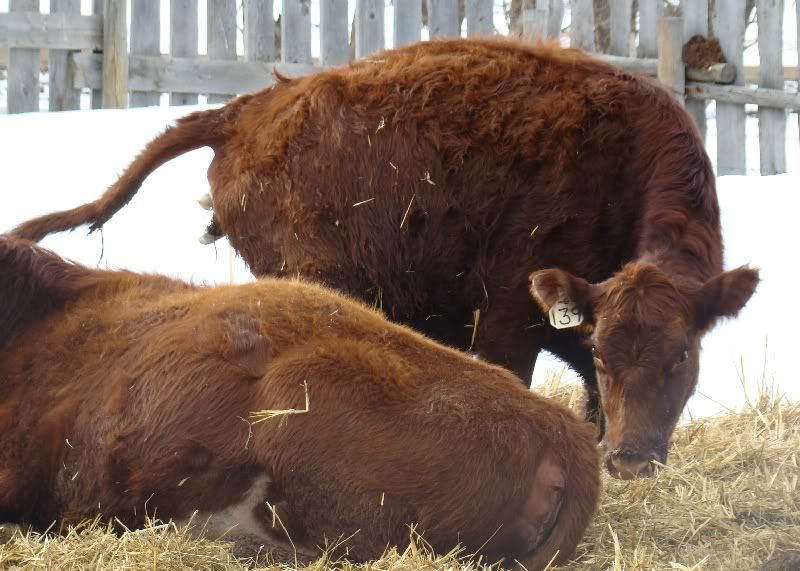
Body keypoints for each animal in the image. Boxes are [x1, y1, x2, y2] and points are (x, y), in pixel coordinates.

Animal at [10, 37, 760, 479]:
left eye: (682, 354)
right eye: (610, 352)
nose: (632, 461)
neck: (623, 166)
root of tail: (247, 111)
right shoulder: (508, 320)